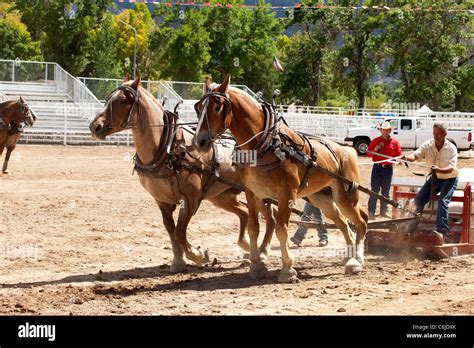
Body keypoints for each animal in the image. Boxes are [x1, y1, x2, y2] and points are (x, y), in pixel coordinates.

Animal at [89, 75, 276, 272]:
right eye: (108, 98)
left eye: (123, 100)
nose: (95, 127)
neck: (168, 148)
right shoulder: (161, 200)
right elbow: (171, 230)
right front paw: (178, 261)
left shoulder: (190, 199)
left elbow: (179, 232)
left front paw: (198, 255)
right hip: (222, 196)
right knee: (245, 213)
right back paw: (247, 246)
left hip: (259, 193)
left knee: (270, 218)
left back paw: (262, 252)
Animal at [193, 75, 370, 282]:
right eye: (198, 107)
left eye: (217, 106)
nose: (199, 141)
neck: (266, 145)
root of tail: (346, 150)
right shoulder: (252, 193)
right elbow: (254, 228)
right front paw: (256, 266)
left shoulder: (287, 194)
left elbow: (281, 229)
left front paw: (287, 269)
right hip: (321, 198)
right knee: (342, 222)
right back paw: (349, 257)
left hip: (345, 197)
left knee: (361, 221)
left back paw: (357, 260)